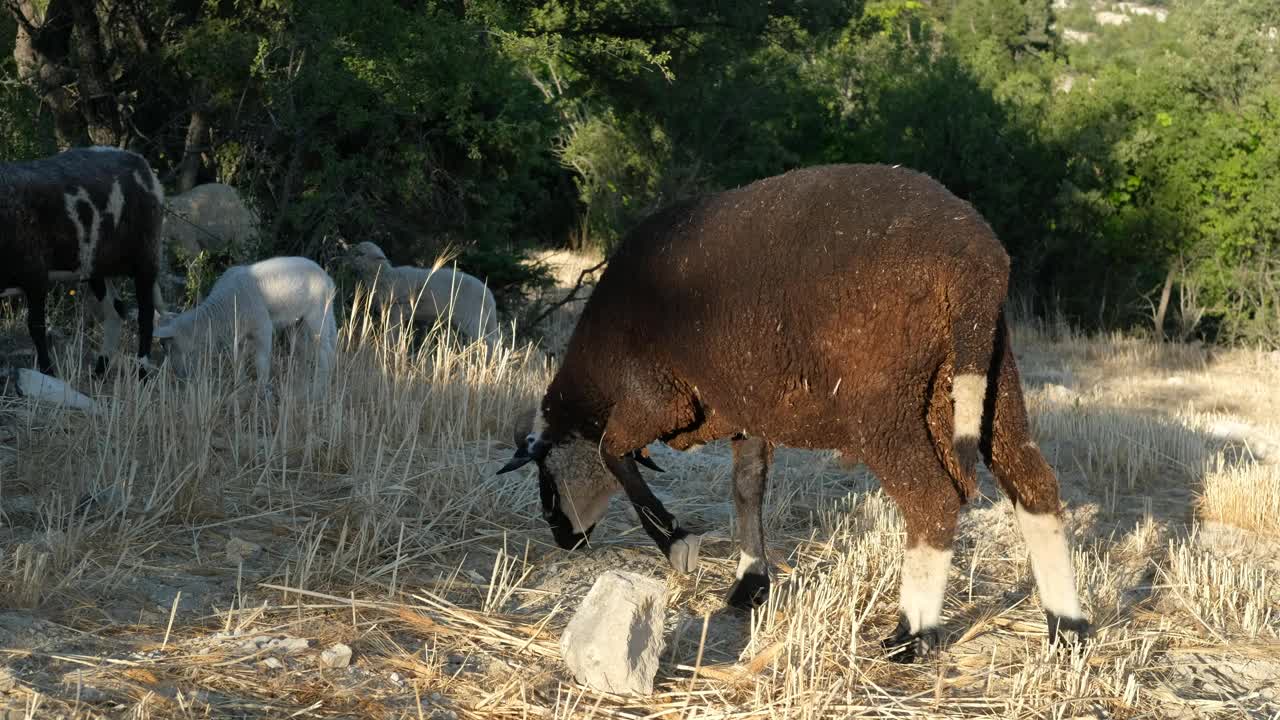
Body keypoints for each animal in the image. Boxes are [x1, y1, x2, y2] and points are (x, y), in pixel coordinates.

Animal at [153, 254, 340, 392]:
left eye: (167, 345)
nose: (179, 377)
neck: (221, 310)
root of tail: (328, 279)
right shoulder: (239, 334)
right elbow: (238, 360)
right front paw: (240, 384)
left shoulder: (263, 327)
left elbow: (261, 362)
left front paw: (261, 389)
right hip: (302, 321)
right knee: (308, 350)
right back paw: (302, 384)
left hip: (316, 315)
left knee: (325, 351)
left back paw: (319, 388)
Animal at [350, 240, 499, 351]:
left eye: (361, 254)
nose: (348, 256)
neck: (384, 276)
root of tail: (488, 295)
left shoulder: (396, 312)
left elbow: (391, 335)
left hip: (471, 318)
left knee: (491, 342)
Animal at [494, 163, 1095, 661]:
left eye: (543, 476)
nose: (565, 541)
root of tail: (975, 263)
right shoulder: (744, 413)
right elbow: (747, 490)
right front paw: (749, 583)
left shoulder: (659, 398)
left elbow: (612, 452)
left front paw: (677, 543)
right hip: (990, 378)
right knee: (1035, 484)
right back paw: (1067, 627)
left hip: (885, 402)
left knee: (932, 500)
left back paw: (912, 634)